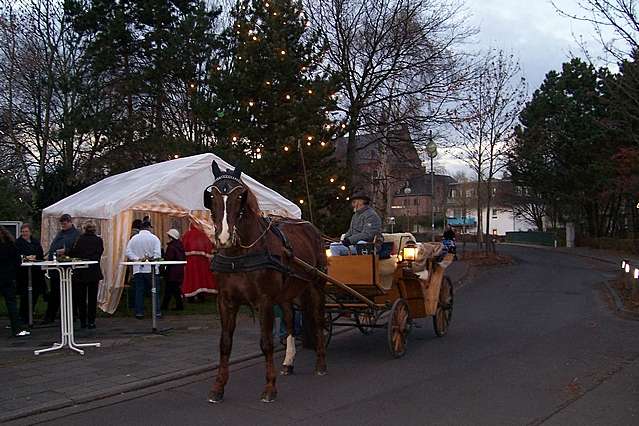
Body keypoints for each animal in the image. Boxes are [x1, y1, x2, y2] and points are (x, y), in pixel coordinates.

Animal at [206, 161, 328, 402]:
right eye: (211, 196)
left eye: (240, 196)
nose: (224, 238)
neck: (239, 255)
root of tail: (312, 228)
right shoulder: (225, 301)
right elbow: (225, 344)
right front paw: (218, 387)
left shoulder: (264, 301)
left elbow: (266, 343)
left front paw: (270, 387)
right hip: (287, 293)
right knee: (289, 321)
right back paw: (289, 362)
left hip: (316, 285)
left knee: (318, 321)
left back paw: (320, 364)